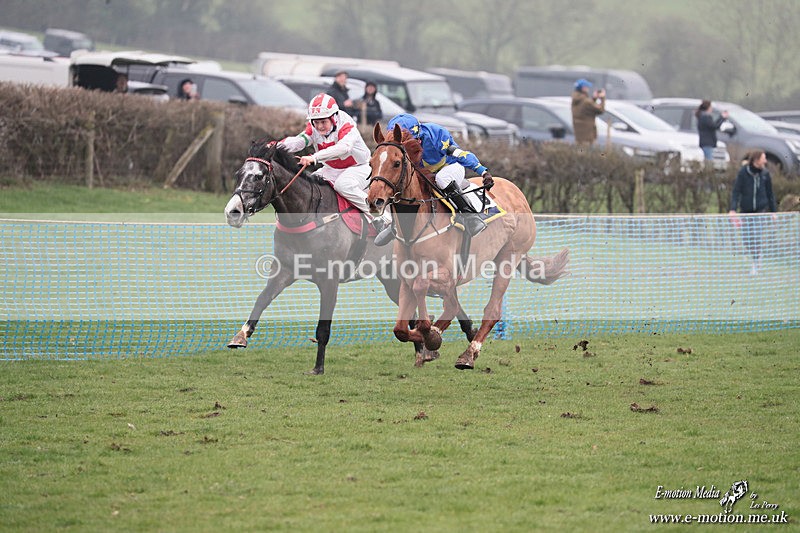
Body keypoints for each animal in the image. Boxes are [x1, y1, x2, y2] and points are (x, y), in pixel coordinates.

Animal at [223, 139, 477, 374]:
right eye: (238, 174)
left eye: (258, 176)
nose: (232, 212)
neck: (308, 214)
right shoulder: (285, 270)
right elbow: (262, 299)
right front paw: (240, 336)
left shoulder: (329, 280)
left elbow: (323, 328)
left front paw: (318, 367)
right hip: (393, 279)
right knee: (414, 312)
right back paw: (425, 352)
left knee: (450, 300)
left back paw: (467, 340)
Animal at [367, 123, 569, 369]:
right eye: (371, 163)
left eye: (396, 163)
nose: (374, 201)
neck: (415, 227)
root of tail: (518, 192)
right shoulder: (406, 279)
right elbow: (401, 330)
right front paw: (429, 339)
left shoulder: (446, 273)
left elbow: (423, 288)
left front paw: (430, 333)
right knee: (451, 306)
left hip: (509, 256)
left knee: (491, 310)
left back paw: (468, 354)